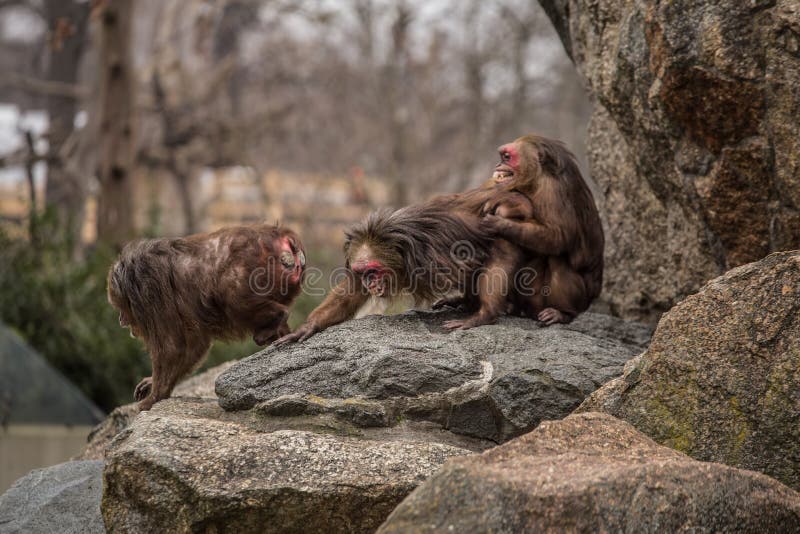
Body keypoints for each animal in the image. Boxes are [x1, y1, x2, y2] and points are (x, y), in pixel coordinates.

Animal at [107, 224, 306, 412]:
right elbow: (194, 345)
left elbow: (173, 347)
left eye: (121, 306)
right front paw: (151, 382)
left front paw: (155, 396)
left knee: (232, 296)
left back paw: (276, 318)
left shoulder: (151, 289)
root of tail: (284, 238)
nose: (121, 320)